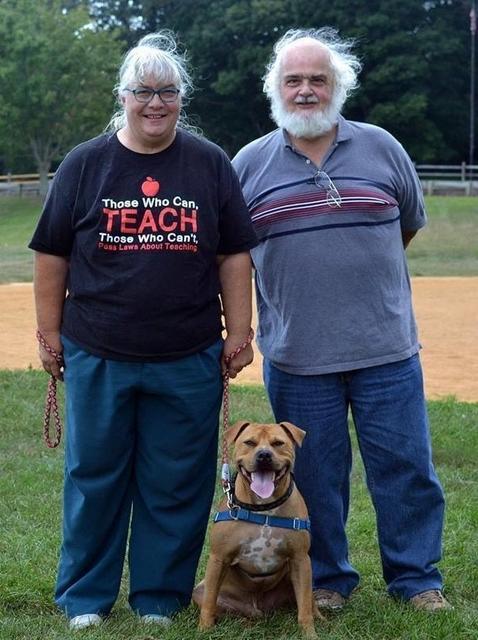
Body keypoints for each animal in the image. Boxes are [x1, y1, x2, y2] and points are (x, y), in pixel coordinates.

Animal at [193, 422, 322, 636]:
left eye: (278, 443)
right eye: (250, 442)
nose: (264, 455)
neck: (264, 507)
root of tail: (258, 608)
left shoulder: (300, 558)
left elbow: (304, 604)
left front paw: (309, 633)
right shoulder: (218, 558)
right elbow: (209, 601)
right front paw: (204, 629)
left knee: (309, 598)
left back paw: (321, 618)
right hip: (200, 591)